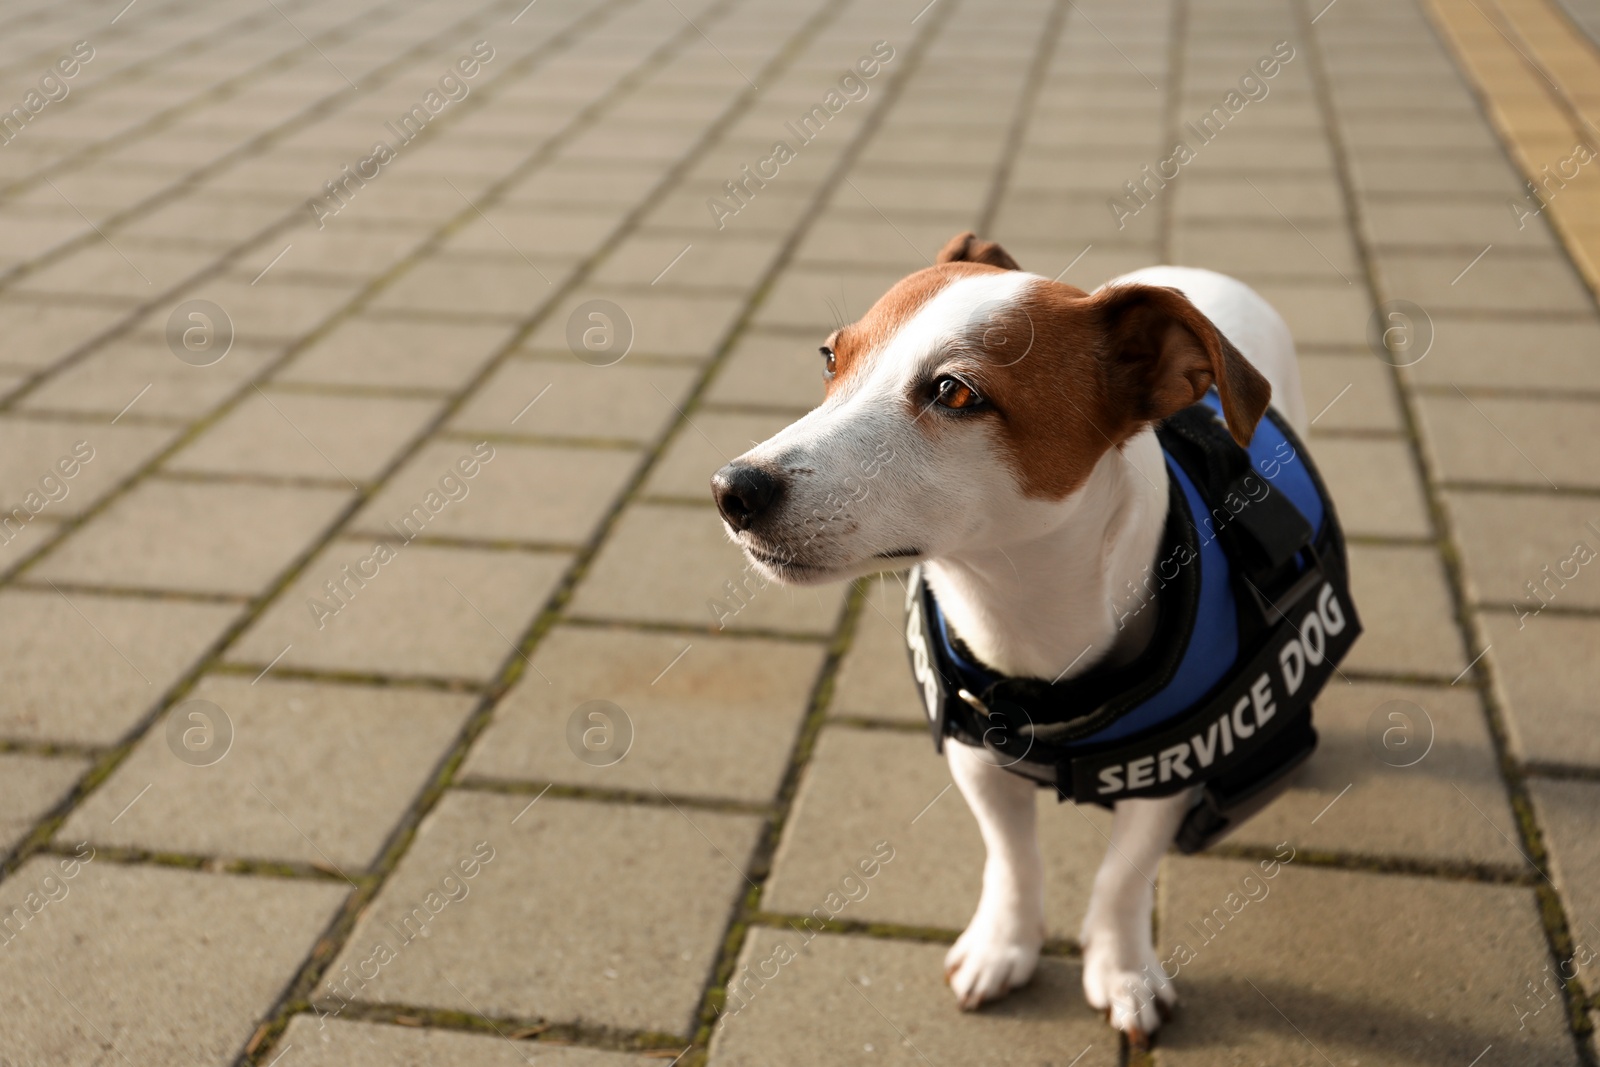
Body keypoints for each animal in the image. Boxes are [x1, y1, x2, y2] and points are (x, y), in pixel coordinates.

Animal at [713, 231, 1312, 1043]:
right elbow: (1012, 857)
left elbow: (1123, 876)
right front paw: (1004, 944)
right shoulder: (977, 755)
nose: (732, 489)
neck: (1020, 616)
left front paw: (1122, 970)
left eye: (956, 392)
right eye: (831, 358)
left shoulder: (1171, 767)